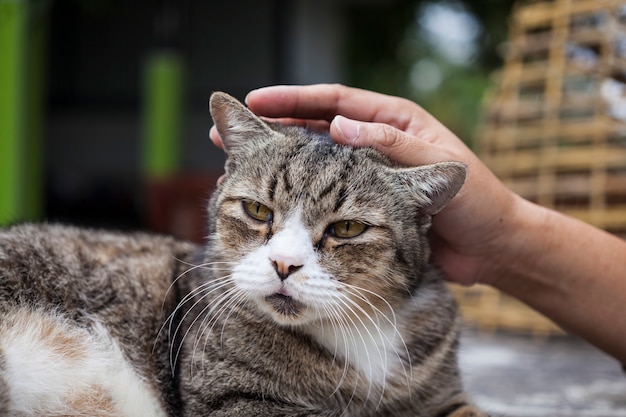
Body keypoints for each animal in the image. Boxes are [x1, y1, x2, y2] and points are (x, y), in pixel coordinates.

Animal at [0, 92, 488, 416]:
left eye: (347, 228)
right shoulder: (233, 397)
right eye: (257, 210)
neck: (356, 331)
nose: (284, 264)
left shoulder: (445, 396)